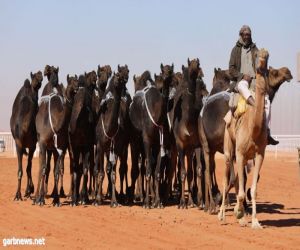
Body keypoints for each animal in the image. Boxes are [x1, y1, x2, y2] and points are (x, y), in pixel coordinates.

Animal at [10, 70, 43, 199]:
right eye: (34, 77)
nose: (40, 75)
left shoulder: (32, 145)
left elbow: (28, 168)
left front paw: (29, 190)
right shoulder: (19, 144)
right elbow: (21, 170)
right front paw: (18, 194)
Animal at [34, 67, 78, 206]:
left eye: (77, 80)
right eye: (70, 81)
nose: (77, 86)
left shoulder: (61, 147)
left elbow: (57, 171)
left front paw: (57, 200)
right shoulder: (43, 143)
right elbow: (43, 168)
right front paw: (40, 199)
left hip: (55, 148)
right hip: (44, 146)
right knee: (41, 167)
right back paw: (37, 196)